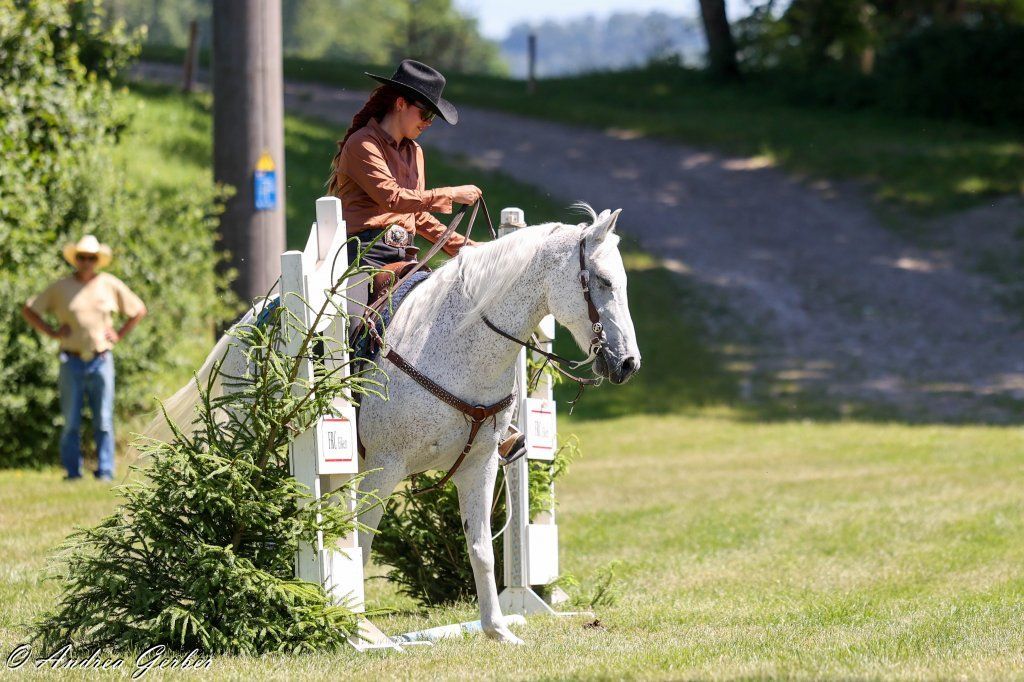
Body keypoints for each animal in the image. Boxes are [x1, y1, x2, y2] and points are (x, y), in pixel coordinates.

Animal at [150, 204, 640, 645]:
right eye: (602, 281)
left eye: (623, 282)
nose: (628, 364)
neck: (458, 342)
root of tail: (246, 324)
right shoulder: (383, 469)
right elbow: (360, 548)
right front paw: (360, 630)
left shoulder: (478, 466)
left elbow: (481, 549)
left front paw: (499, 630)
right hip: (254, 437)